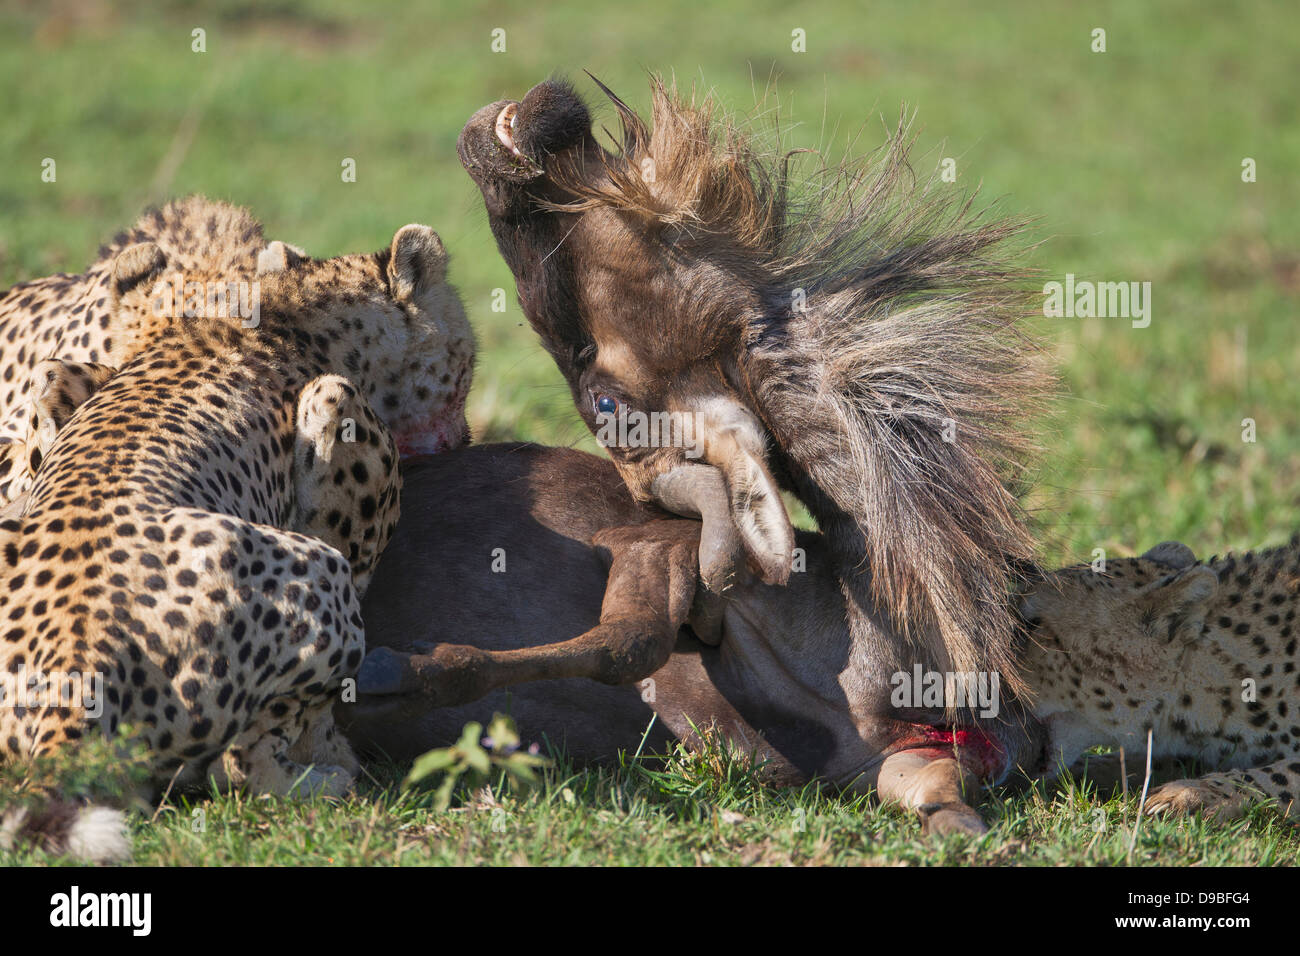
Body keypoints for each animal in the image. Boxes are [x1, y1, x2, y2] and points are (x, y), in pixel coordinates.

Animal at [0, 214, 475, 842]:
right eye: (466, 365)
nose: (468, 436)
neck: (293, 309)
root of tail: (75, 663)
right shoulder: (335, 407)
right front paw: (330, 747)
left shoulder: (71, 378)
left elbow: (50, 393)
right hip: (316, 578)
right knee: (240, 766)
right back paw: (324, 778)